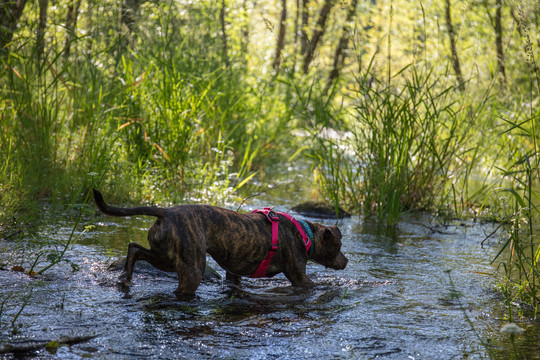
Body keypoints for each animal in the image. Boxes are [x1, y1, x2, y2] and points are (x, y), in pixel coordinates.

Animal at [93, 188, 348, 298]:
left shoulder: (233, 273)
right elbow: (312, 284)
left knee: (134, 248)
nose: (346, 261)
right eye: (339, 246)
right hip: (191, 266)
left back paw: (125, 277)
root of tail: (165, 212)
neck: (306, 234)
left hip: (164, 256)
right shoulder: (299, 278)